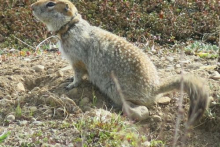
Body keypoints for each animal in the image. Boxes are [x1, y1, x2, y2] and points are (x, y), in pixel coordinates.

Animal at [31, 0, 210, 124]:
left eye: (51, 4)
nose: (32, 6)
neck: (71, 26)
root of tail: (154, 88)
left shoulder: (76, 57)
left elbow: (78, 73)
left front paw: (71, 84)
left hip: (115, 88)